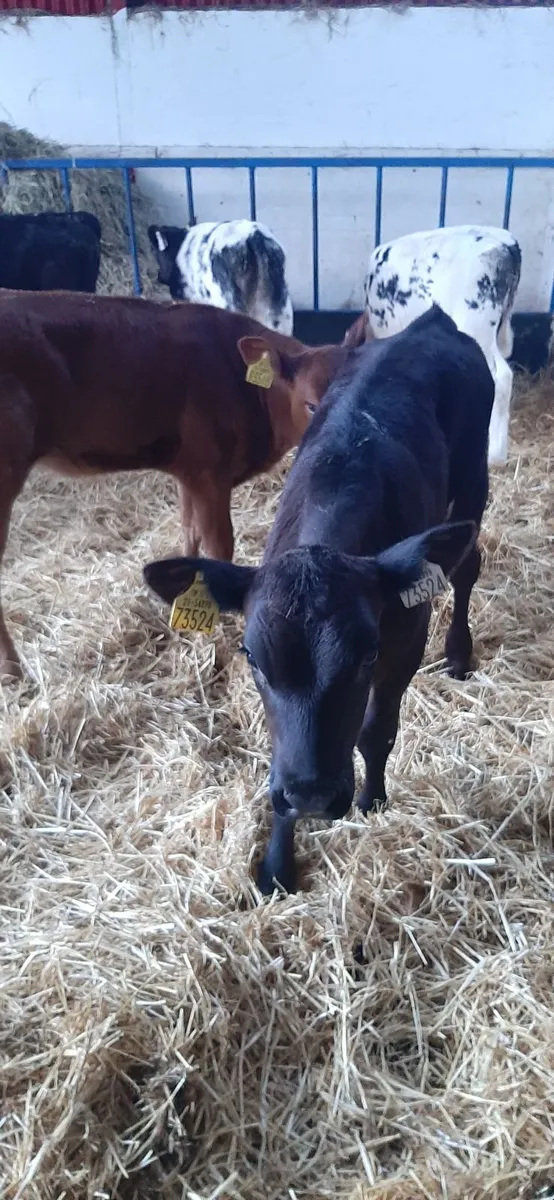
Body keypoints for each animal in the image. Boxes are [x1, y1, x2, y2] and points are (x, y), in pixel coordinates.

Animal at [0, 291, 347, 679]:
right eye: (311, 404)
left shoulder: (189, 472)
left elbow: (189, 531)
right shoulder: (211, 473)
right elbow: (219, 544)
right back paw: (14, 670)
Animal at [144, 305, 493, 894]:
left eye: (367, 654)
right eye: (252, 658)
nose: (311, 796)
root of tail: (430, 323)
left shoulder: (406, 638)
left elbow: (376, 731)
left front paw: (372, 799)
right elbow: (280, 755)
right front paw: (276, 865)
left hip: (475, 475)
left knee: (468, 563)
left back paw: (460, 652)